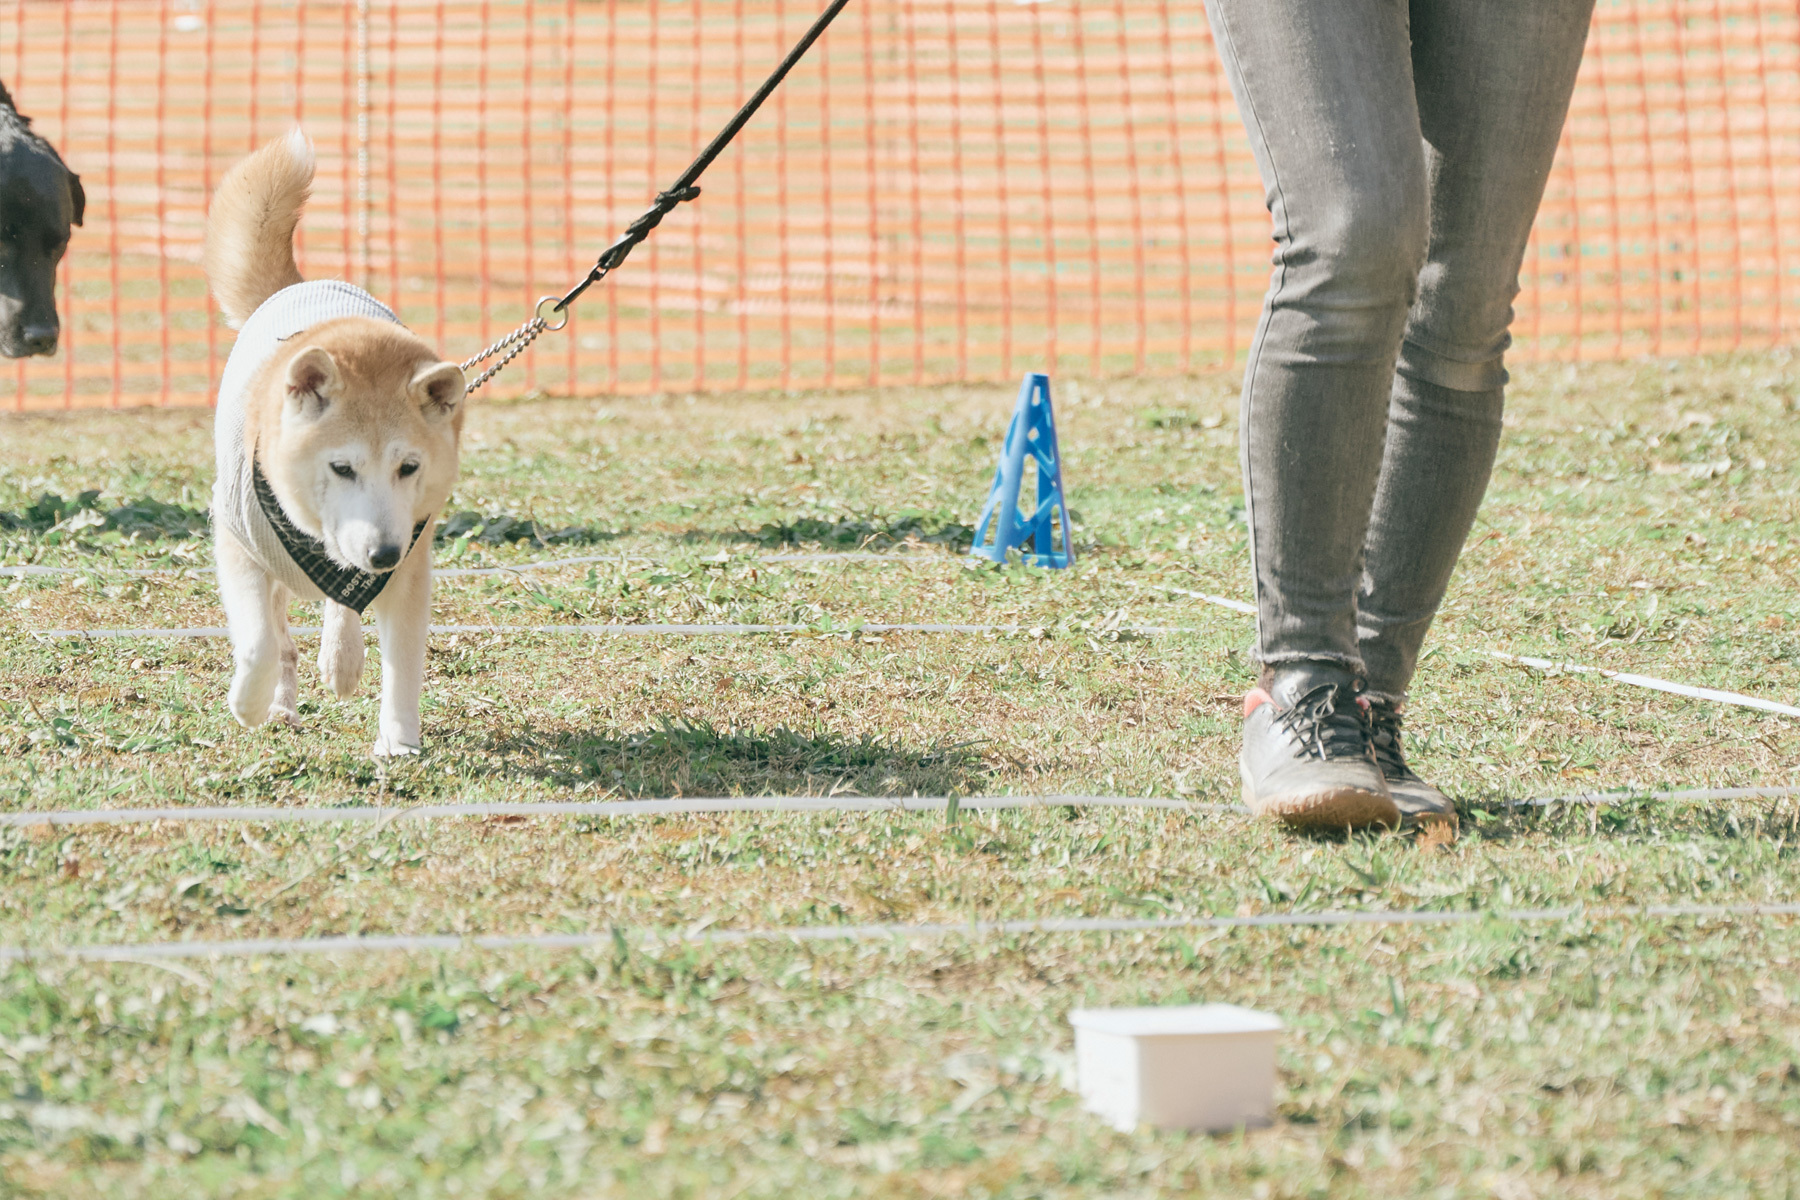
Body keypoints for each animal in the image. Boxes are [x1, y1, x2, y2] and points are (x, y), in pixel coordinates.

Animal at [201, 135, 468, 755]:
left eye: (409, 467)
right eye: (342, 468)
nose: (384, 554)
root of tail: (299, 286)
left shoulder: (410, 567)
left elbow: (402, 662)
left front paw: (399, 742)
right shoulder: (239, 543)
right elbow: (259, 644)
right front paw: (248, 704)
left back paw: (341, 661)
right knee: (282, 636)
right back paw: (279, 704)